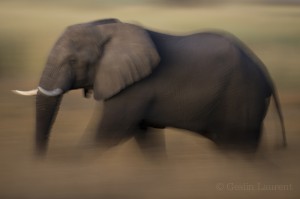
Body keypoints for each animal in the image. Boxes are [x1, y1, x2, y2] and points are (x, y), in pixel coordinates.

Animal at [13, 18, 286, 155]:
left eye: (72, 61)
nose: (40, 162)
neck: (108, 28)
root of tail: (265, 73)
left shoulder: (135, 88)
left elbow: (108, 135)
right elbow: (143, 137)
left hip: (242, 98)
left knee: (239, 144)